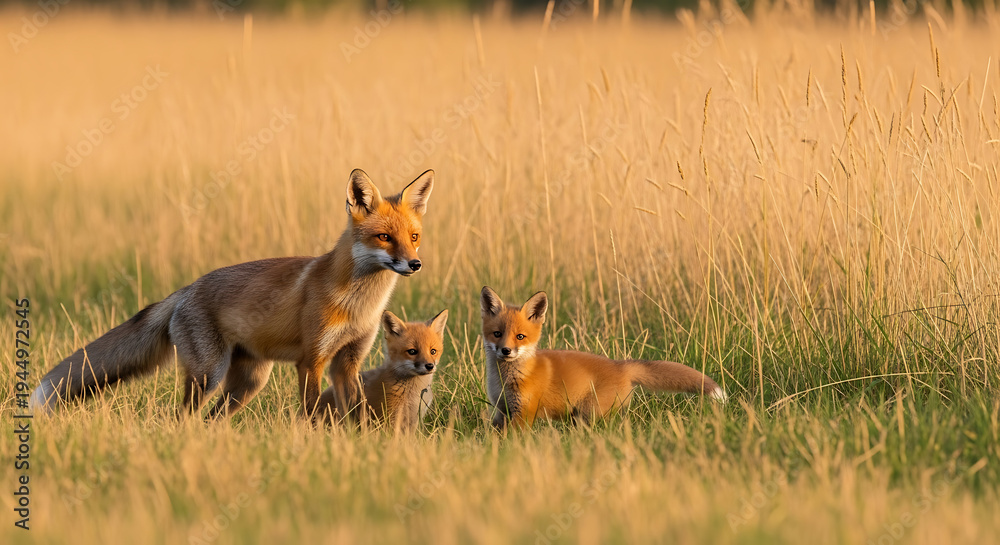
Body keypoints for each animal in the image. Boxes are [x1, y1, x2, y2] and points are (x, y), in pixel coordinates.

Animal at [29, 168, 434, 420]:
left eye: (414, 237)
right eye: (384, 237)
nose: (414, 264)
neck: (358, 304)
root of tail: (187, 289)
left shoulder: (347, 361)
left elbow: (356, 412)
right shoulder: (312, 360)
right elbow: (311, 412)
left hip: (247, 384)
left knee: (212, 420)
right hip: (209, 375)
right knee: (182, 417)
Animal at [318, 309, 447, 432]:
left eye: (433, 351)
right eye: (412, 351)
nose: (429, 366)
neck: (413, 394)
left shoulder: (413, 421)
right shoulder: (388, 419)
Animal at [479, 286, 727, 430]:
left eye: (520, 337)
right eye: (497, 334)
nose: (506, 351)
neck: (505, 380)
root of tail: (621, 365)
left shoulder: (525, 413)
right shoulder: (501, 411)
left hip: (590, 414)